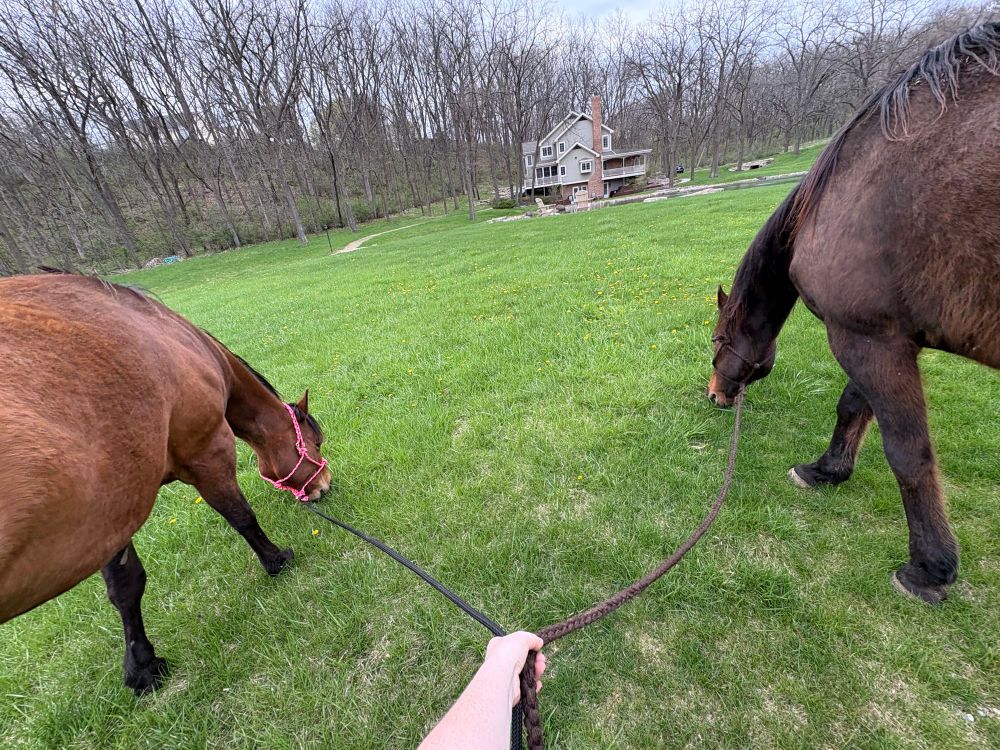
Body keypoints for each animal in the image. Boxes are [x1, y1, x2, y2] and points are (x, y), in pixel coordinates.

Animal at [0, 273, 331, 692]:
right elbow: (241, 516)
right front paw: (276, 560)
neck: (184, 345)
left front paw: (141, 665)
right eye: (317, 442)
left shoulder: (110, 514)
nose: (325, 485)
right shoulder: (208, 451)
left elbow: (126, 584)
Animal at [708, 23, 1000, 605]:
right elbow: (852, 407)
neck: (830, 201)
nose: (713, 395)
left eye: (718, 340)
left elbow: (908, 452)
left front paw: (929, 569)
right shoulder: (882, 335)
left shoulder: (867, 338)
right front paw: (826, 470)